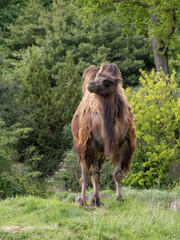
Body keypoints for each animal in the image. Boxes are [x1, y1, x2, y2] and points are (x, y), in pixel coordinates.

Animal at [71, 62, 136, 206]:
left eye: (107, 81)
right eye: (98, 77)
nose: (91, 85)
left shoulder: (122, 143)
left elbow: (117, 174)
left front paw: (119, 198)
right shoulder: (92, 144)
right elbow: (95, 174)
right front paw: (95, 200)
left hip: (101, 152)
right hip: (82, 146)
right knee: (84, 174)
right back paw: (83, 201)